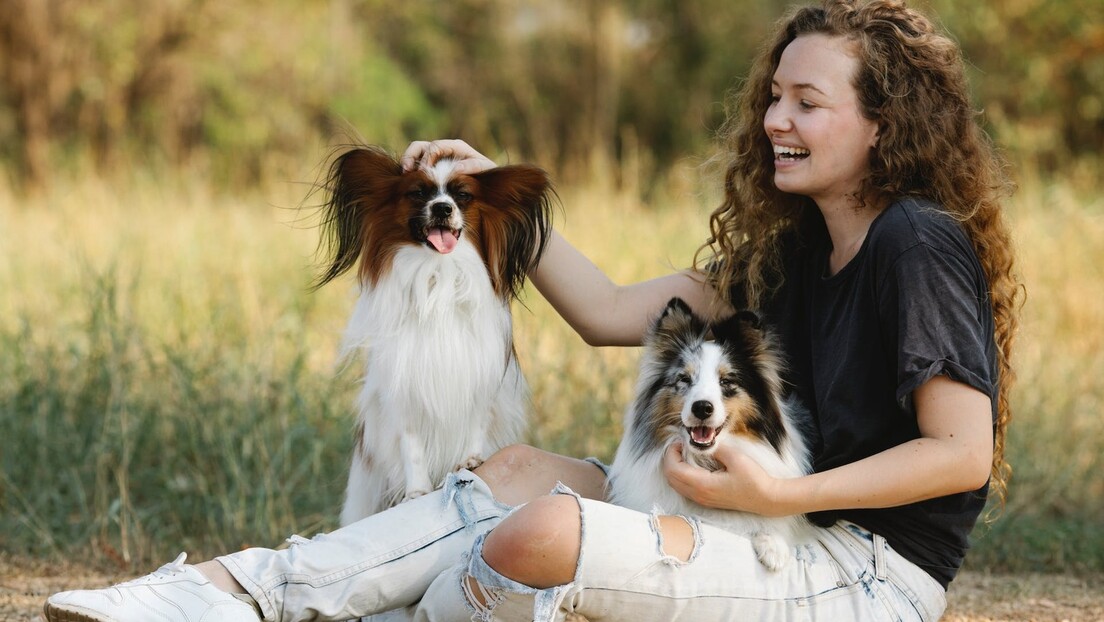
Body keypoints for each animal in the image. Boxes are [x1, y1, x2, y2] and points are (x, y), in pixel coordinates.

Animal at [313, 145, 556, 525]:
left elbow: (475, 423)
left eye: (463, 196)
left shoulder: (480, 377)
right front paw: (416, 491)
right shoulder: (402, 387)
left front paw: (471, 459)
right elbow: (411, 444)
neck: (438, 274)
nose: (443, 208)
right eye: (417, 193)